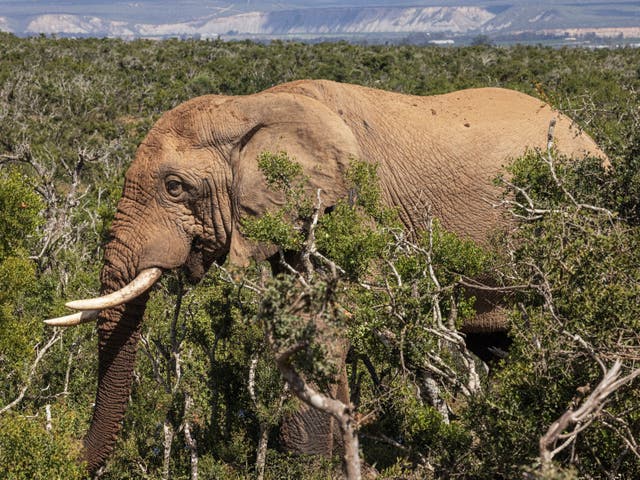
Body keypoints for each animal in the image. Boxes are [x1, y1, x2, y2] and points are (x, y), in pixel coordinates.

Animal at [45, 79, 604, 472]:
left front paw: (310, 466)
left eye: (175, 187)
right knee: (499, 345)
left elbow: (322, 321)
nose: (64, 456)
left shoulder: (353, 206)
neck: (252, 106)